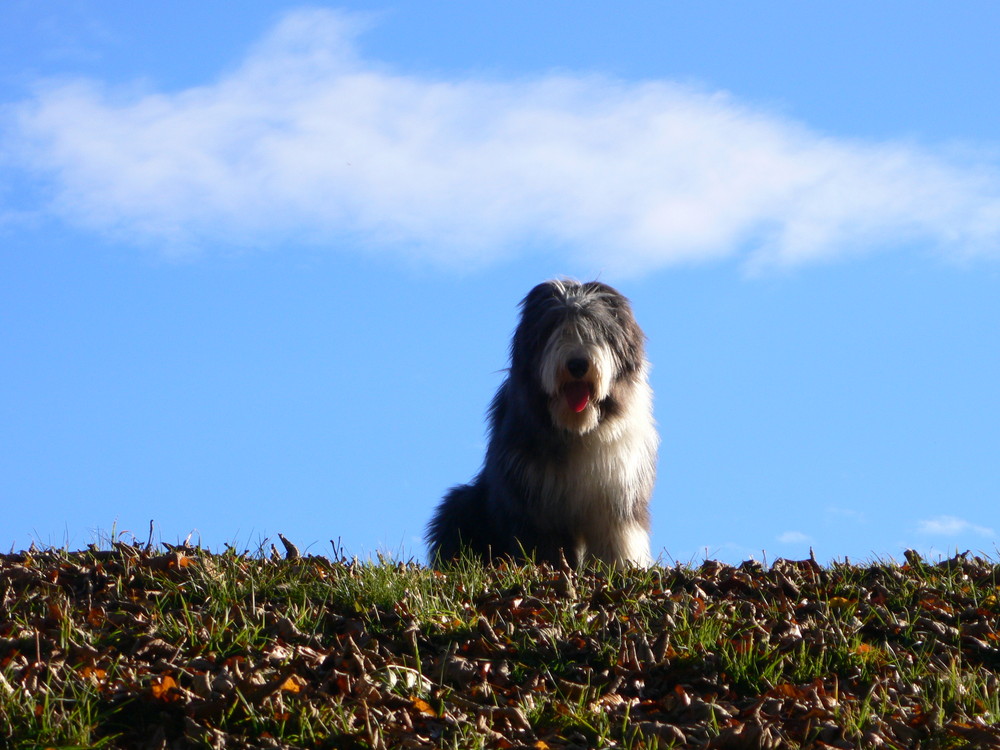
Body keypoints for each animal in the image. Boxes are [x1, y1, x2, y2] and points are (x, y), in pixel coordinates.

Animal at [428, 280, 656, 568]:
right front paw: (547, 568)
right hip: (461, 505)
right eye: (554, 329)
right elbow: (543, 543)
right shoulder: (535, 499)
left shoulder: (617, 492)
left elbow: (618, 536)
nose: (577, 364)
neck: (577, 429)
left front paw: (620, 568)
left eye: (596, 330)